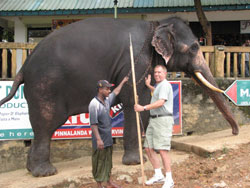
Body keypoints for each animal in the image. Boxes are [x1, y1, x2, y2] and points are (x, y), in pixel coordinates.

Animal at [0, 16, 238, 177]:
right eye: (195, 47)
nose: (235, 133)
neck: (156, 24)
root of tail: (23, 67)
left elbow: (143, 102)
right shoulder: (135, 61)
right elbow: (135, 100)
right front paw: (136, 162)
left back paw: (32, 170)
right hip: (45, 87)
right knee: (47, 124)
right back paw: (45, 172)